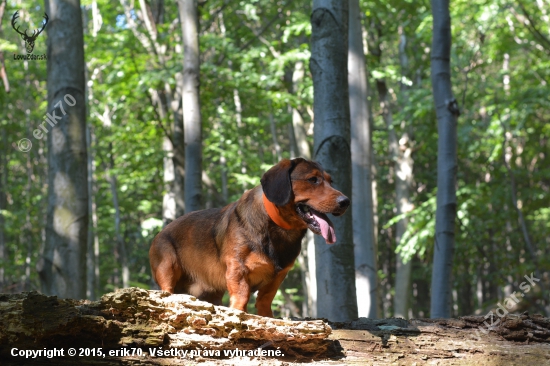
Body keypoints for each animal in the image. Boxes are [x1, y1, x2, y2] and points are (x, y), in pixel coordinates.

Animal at [149, 159, 352, 316]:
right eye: (313, 179)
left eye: (331, 181)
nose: (346, 202)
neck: (277, 228)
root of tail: (160, 232)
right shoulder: (237, 269)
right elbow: (242, 296)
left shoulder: (277, 277)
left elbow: (265, 299)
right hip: (167, 267)